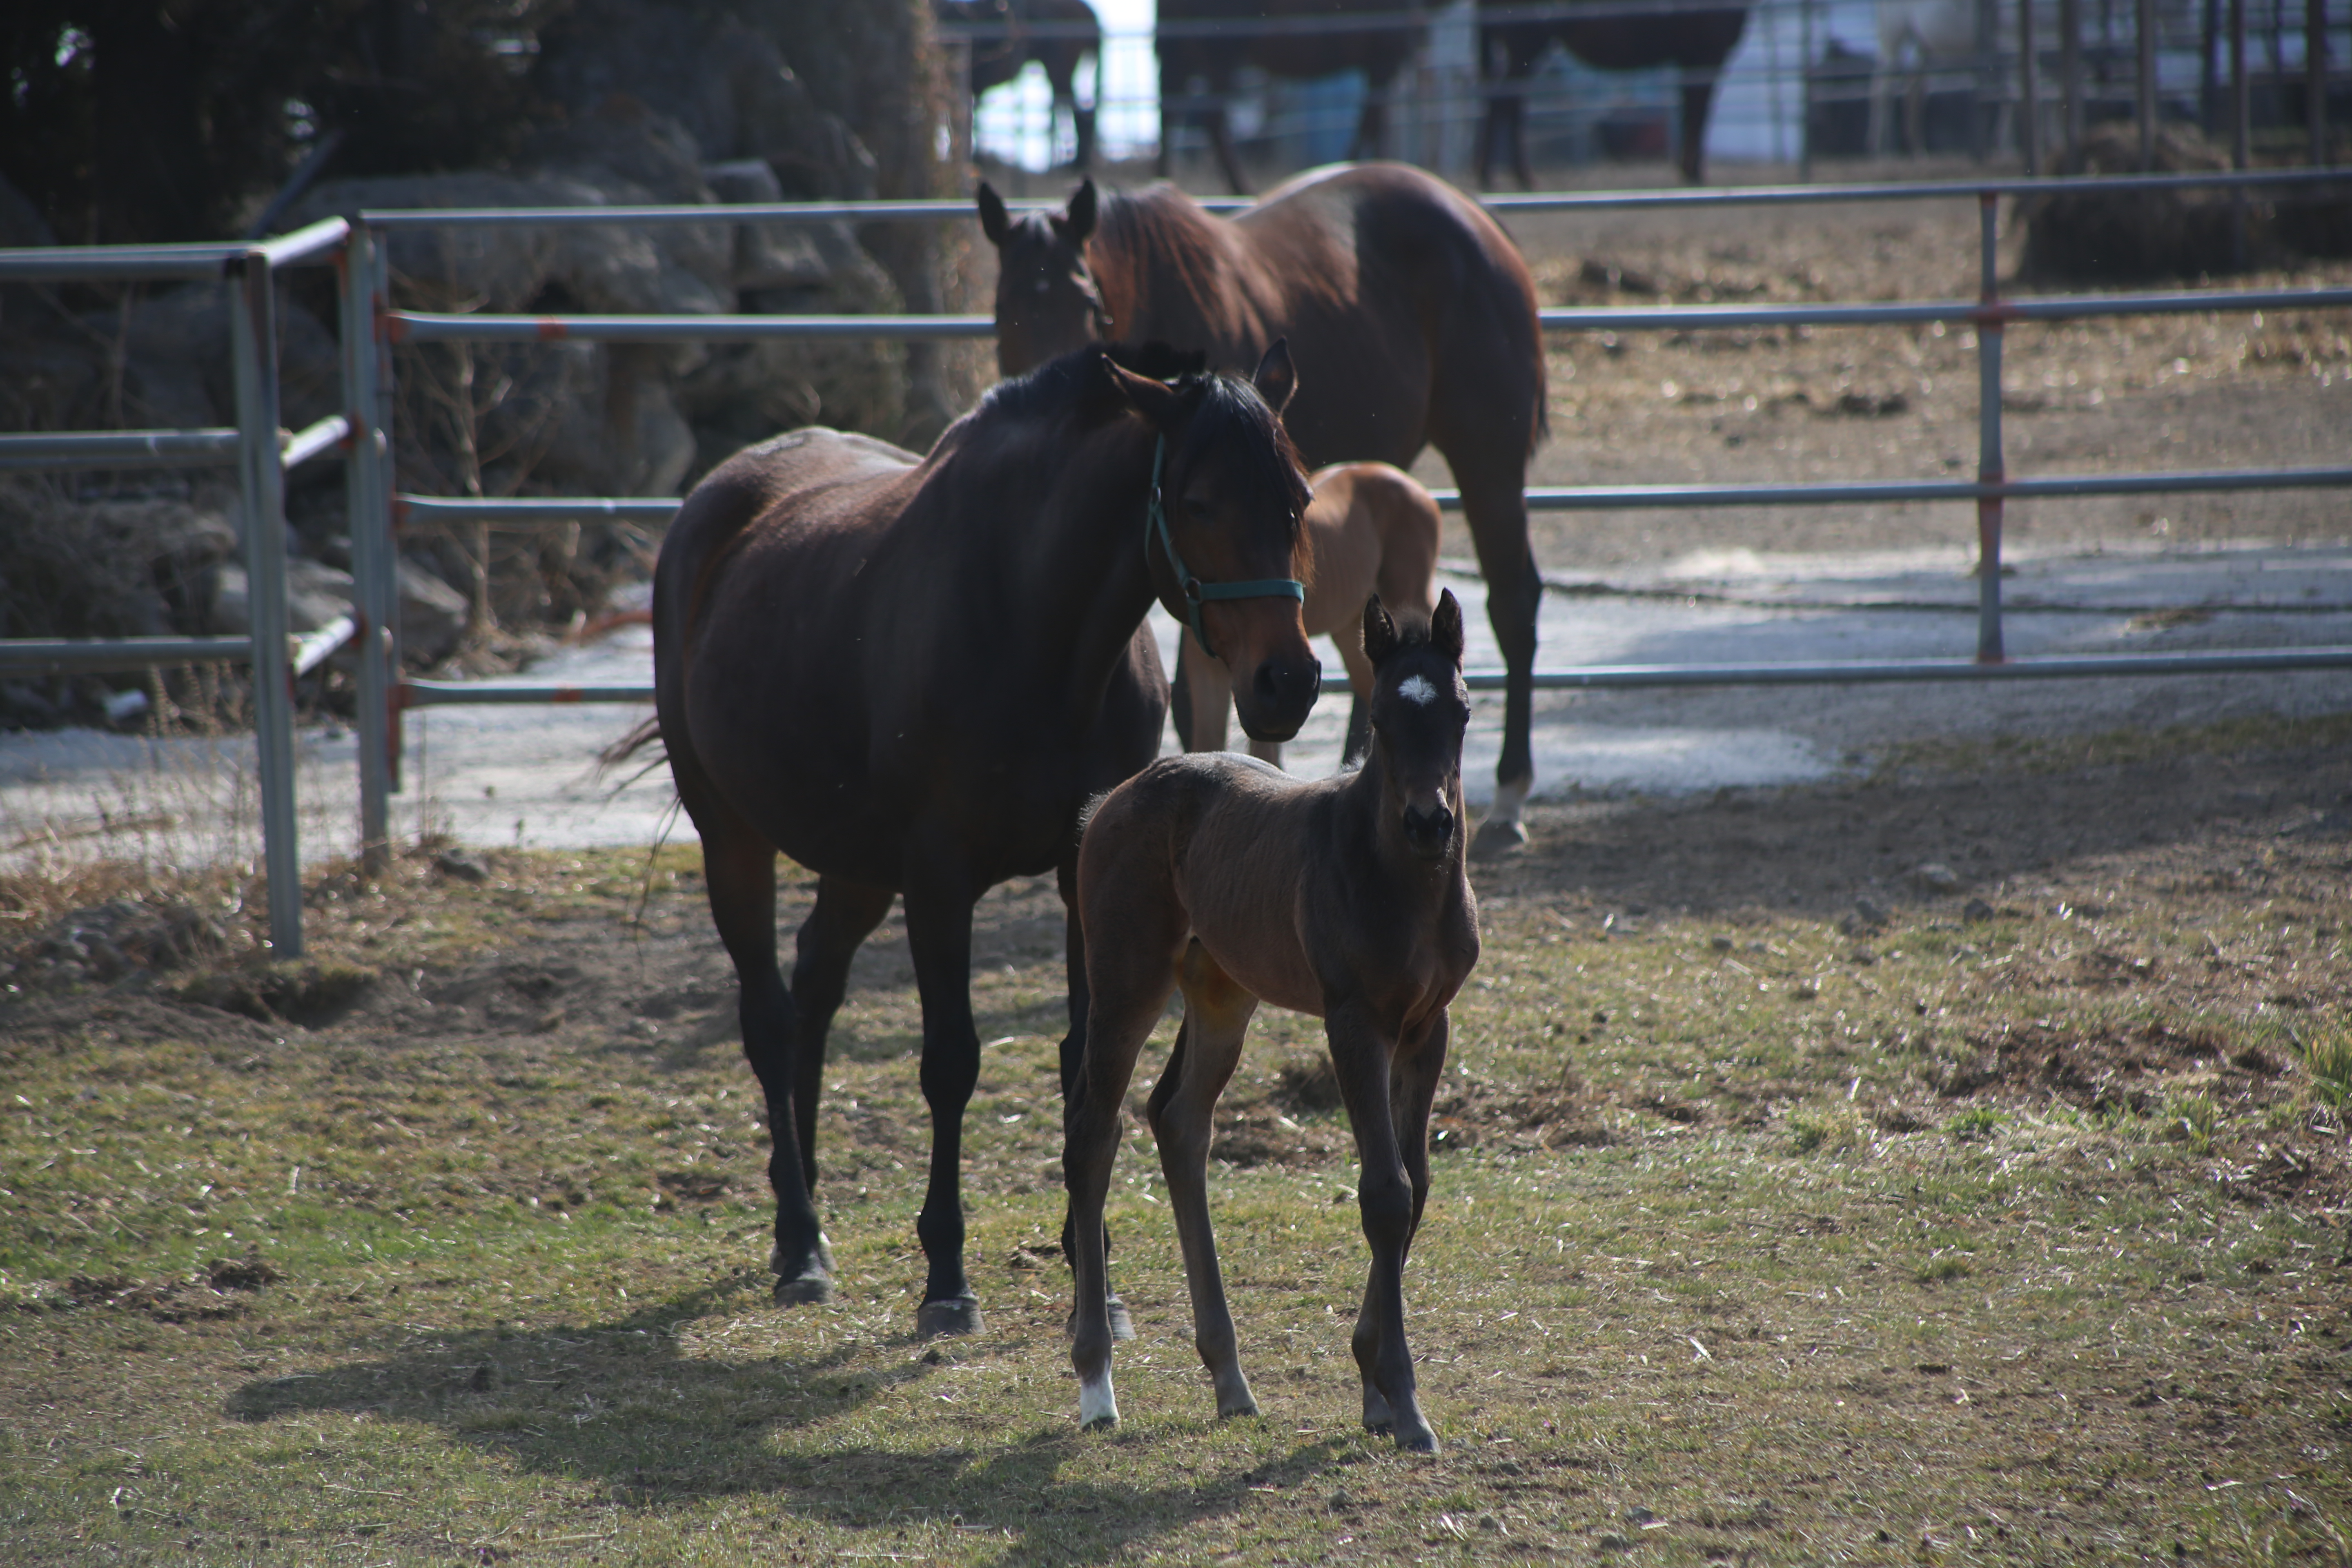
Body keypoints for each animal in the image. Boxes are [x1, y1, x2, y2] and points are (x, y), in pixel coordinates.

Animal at [644, 339, 1326, 1335]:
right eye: (1199, 501)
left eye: (1299, 499)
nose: (1290, 681)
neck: (1034, 632)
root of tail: (712, 501)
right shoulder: (939, 879)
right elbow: (950, 1064)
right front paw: (947, 1277)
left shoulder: (1085, 875)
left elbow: (1088, 1064)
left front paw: (1097, 1277)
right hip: (731, 837)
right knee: (770, 1020)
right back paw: (801, 1241)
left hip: (857, 868)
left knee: (814, 989)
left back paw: (795, 1214)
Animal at [1063, 595, 1468, 1457]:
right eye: (1380, 719)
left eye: (1459, 711)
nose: (1430, 823)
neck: (1404, 882)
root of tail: (1114, 798)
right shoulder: (1354, 1022)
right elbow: (1385, 1193)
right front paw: (1404, 1402)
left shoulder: (1429, 1027)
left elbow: (1414, 1188)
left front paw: (1374, 1389)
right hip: (1127, 982)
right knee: (1094, 1135)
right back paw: (1096, 1384)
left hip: (1221, 993)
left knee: (1178, 1120)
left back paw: (1230, 1379)